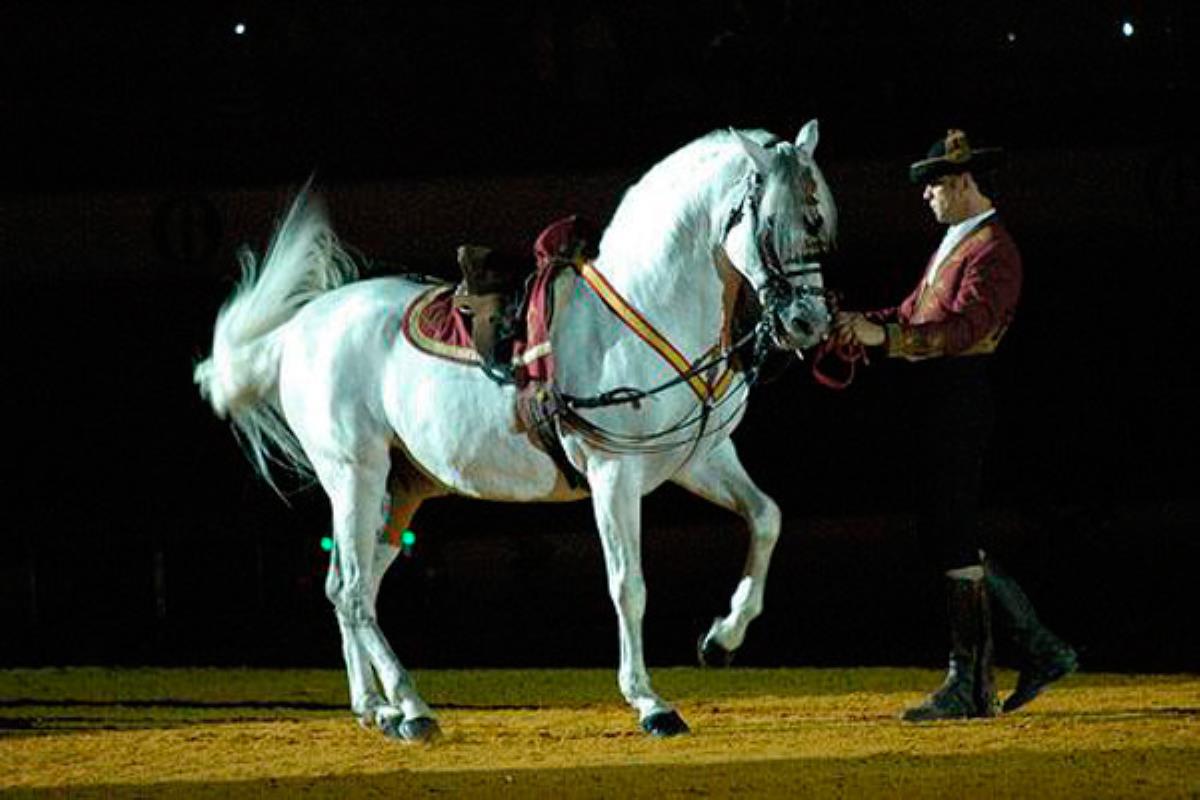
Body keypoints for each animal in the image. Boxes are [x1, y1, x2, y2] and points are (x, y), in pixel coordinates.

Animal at [194, 122, 835, 743]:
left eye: (821, 223)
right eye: (772, 224)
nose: (809, 323)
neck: (646, 309)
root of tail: (297, 329)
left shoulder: (700, 459)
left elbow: (766, 518)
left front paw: (721, 639)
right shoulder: (614, 474)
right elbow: (628, 585)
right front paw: (650, 703)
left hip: (402, 488)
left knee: (349, 587)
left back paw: (375, 708)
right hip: (355, 474)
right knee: (352, 590)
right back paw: (411, 708)